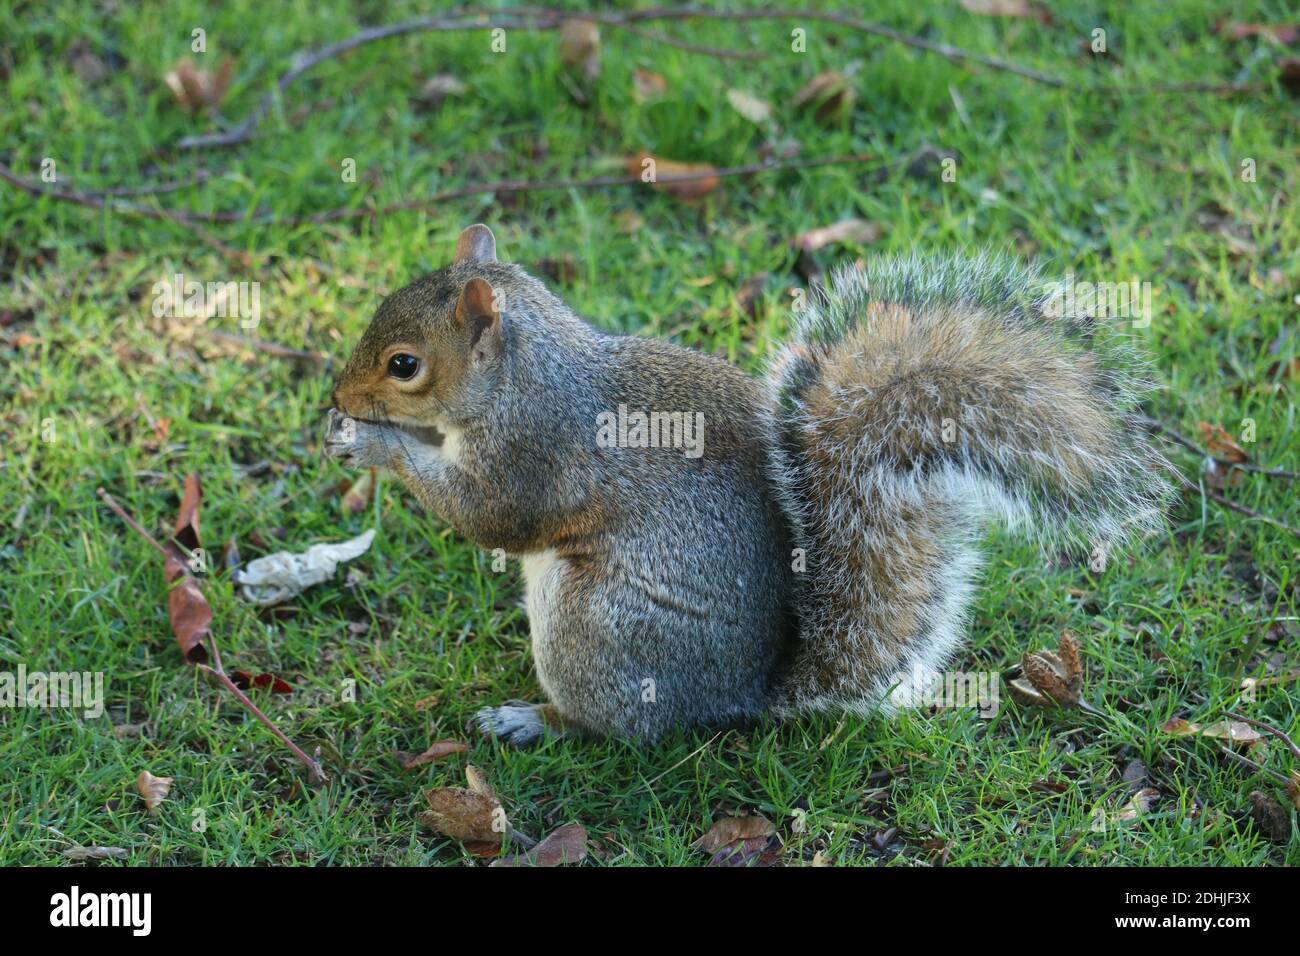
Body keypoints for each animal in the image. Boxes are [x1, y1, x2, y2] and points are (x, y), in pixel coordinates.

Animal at [322, 223, 1170, 749]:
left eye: (405, 365)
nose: (340, 394)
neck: (525, 376)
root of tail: (745, 693)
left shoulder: (533, 454)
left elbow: (489, 517)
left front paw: (373, 442)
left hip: (594, 625)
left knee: (613, 725)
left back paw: (535, 720)